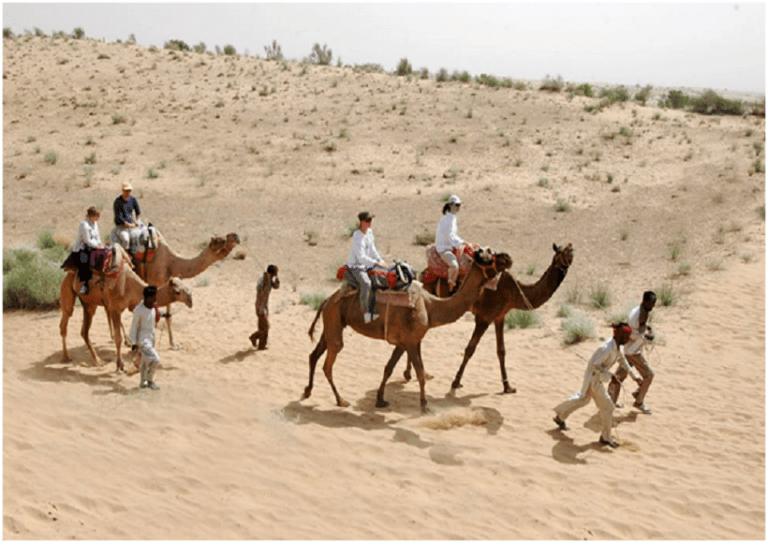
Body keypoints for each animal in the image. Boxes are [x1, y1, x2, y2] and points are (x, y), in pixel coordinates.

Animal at [59, 245, 193, 370]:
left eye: (186, 287)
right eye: (177, 291)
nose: (190, 300)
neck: (130, 285)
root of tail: (68, 272)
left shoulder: (133, 305)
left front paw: (137, 358)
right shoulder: (115, 308)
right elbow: (118, 339)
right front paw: (119, 365)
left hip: (89, 303)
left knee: (84, 331)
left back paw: (97, 360)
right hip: (68, 290)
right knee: (65, 320)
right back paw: (66, 357)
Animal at [302, 247, 513, 413]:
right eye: (488, 256)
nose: (508, 258)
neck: (431, 306)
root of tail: (326, 300)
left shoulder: (405, 341)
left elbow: (389, 368)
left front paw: (380, 399)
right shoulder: (410, 341)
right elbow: (419, 373)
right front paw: (424, 405)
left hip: (331, 324)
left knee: (314, 355)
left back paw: (307, 391)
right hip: (334, 323)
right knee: (328, 363)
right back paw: (341, 400)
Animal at [404, 242, 574, 393]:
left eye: (570, 250)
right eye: (561, 251)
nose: (571, 252)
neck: (514, 292)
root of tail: (422, 273)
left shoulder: (500, 316)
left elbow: (501, 351)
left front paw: (507, 386)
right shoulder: (484, 318)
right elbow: (470, 349)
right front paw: (456, 382)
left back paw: (412, 373)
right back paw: (415, 373)